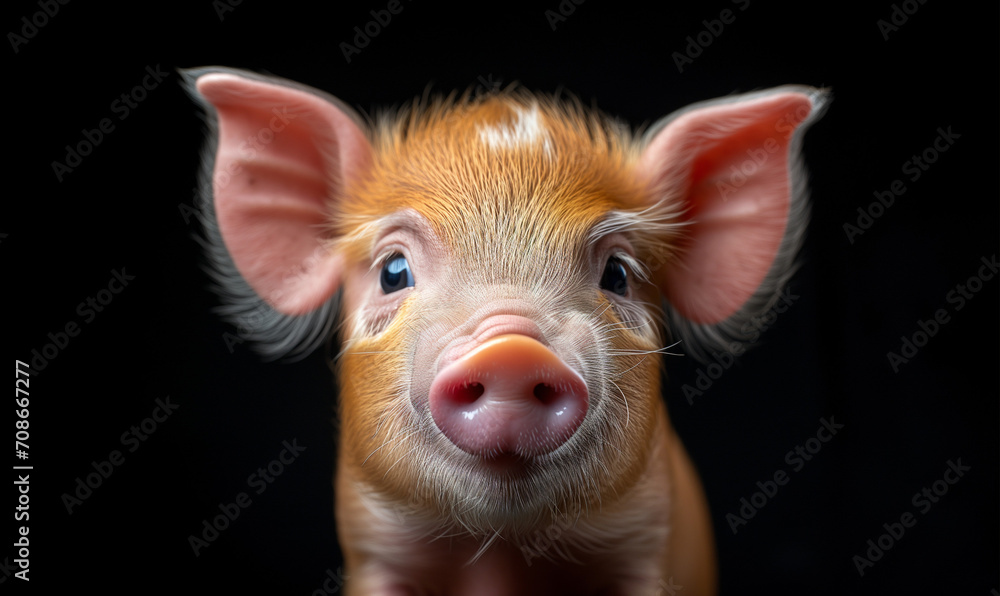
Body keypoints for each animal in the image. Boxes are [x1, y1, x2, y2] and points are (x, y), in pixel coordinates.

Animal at [183, 67, 827, 596]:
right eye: (393, 271)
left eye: (618, 274)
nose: (510, 349)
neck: (502, 553)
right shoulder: (375, 545)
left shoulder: (645, 539)